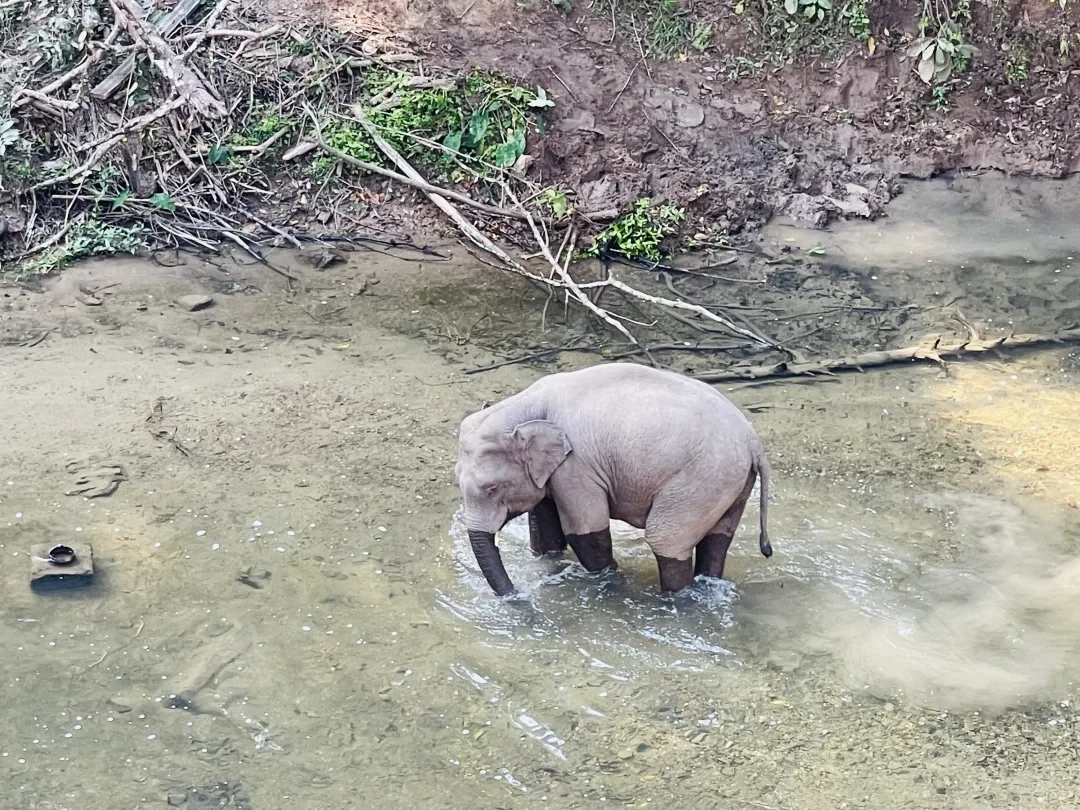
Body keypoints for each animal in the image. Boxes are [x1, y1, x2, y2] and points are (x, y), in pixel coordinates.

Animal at [453, 362, 772, 597]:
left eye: (492, 488)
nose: (516, 593)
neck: (527, 403)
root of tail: (753, 440)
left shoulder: (577, 467)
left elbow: (586, 532)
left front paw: (608, 581)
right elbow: (545, 531)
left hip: (701, 480)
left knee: (666, 540)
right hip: (731, 483)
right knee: (717, 540)